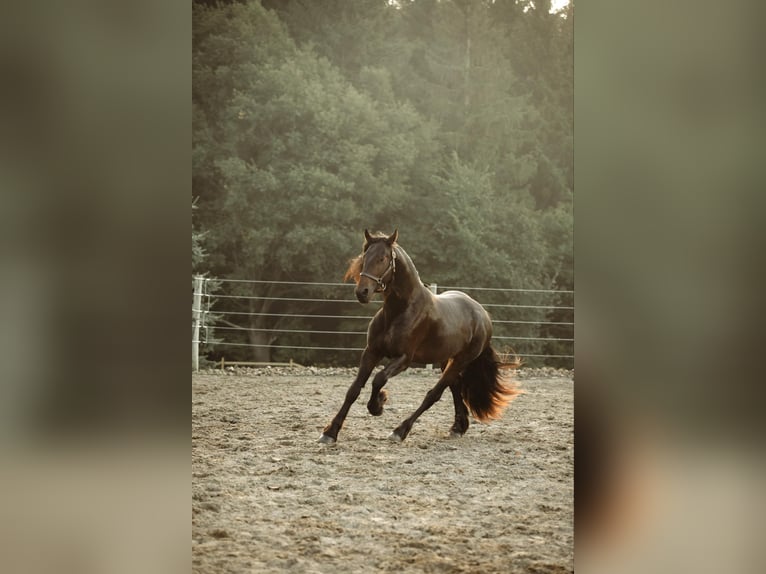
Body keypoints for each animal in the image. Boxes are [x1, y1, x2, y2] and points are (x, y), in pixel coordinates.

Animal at [319, 229, 520, 444]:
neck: (399, 311)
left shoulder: (404, 358)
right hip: (446, 360)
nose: (362, 292)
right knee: (455, 387)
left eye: (382, 258)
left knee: (434, 394)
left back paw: (400, 431)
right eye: (365, 257)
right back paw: (458, 427)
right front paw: (330, 432)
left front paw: (378, 404)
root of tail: (483, 315)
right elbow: (354, 389)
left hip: (461, 360)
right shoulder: (371, 352)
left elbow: (378, 379)